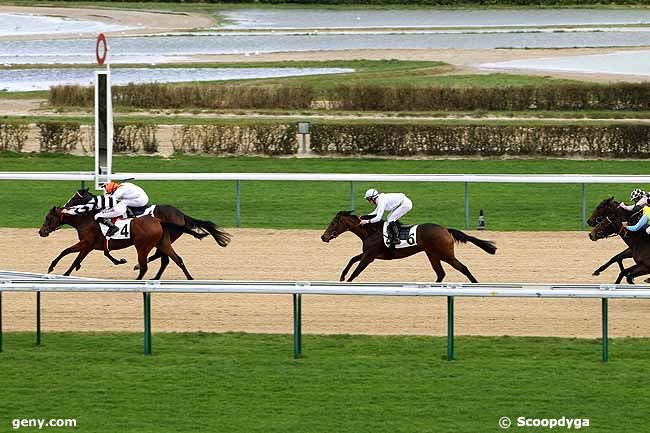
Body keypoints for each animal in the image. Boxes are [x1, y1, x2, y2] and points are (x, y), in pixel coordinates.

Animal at [38, 207, 192, 280]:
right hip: (162, 243)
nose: (41, 232)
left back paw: (137, 277)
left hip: (142, 246)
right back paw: (190, 278)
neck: (85, 221)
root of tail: (158, 220)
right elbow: (78, 258)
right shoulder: (91, 246)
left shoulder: (86, 244)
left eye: (48, 217)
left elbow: (68, 253)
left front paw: (55, 269)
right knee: (177, 259)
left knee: (144, 266)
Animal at [320, 210, 496, 284]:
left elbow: (357, 271)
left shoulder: (370, 256)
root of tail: (445, 229)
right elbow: (351, 260)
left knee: (462, 267)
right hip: (432, 254)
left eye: (333, 223)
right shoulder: (369, 253)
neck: (371, 231)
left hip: (445, 254)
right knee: (441, 273)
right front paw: (342, 276)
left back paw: (475, 283)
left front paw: (347, 281)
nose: (323, 237)